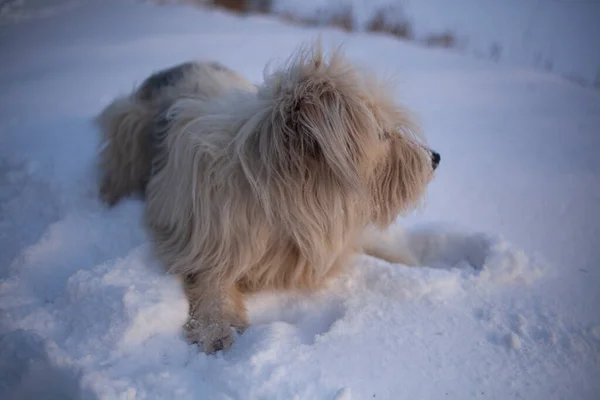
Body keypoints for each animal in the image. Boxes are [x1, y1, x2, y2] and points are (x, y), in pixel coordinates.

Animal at [95, 40, 440, 354]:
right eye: (381, 134)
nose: (435, 158)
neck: (286, 201)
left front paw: (413, 263)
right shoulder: (205, 238)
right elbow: (210, 280)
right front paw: (215, 328)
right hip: (128, 131)